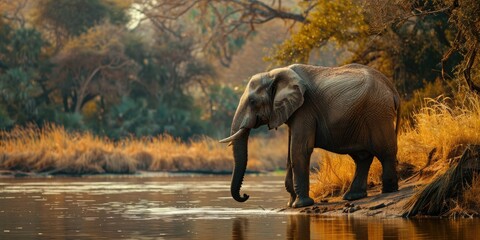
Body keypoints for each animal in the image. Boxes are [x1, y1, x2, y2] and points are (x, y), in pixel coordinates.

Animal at [219, 63, 400, 208]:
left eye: (252, 102)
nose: (245, 195)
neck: (274, 74)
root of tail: (392, 89)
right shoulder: (294, 112)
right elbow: (290, 155)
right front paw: (291, 203)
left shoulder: (305, 109)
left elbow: (299, 150)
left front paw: (300, 204)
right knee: (362, 157)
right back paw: (353, 196)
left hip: (377, 114)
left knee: (384, 151)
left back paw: (389, 191)